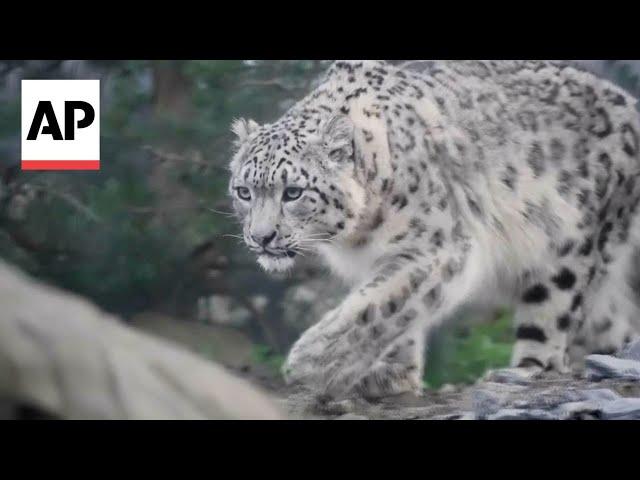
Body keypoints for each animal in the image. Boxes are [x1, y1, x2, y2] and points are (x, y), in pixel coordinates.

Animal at [228, 62, 640, 404]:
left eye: (293, 192)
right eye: (244, 191)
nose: (261, 237)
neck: (357, 239)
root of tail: (629, 102)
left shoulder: (438, 247)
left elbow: (378, 303)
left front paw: (313, 360)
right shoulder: (375, 262)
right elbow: (393, 309)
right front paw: (392, 376)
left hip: (569, 251)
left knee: (551, 322)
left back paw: (521, 371)